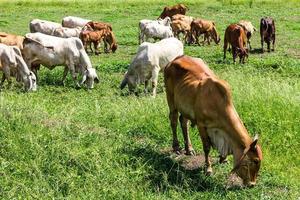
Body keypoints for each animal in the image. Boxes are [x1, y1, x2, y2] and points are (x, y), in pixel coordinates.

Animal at [164, 54, 262, 186]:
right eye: (255, 160)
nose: (252, 184)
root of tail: (176, 58)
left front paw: (223, 159)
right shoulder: (201, 124)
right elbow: (206, 147)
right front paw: (208, 169)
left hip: (185, 107)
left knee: (184, 122)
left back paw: (189, 149)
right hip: (171, 99)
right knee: (173, 120)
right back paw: (176, 147)